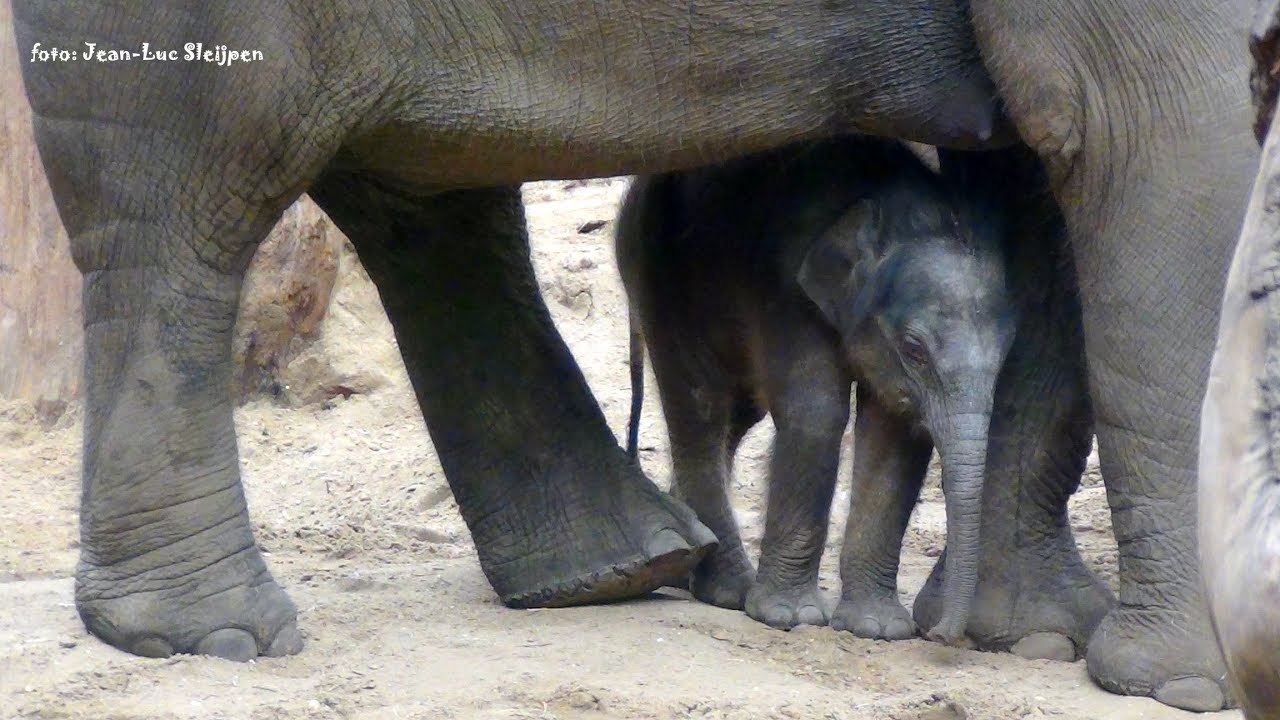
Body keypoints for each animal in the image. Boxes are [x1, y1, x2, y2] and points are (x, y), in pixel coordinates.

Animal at [615, 135, 1014, 643]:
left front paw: (877, 629)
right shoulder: (784, 289)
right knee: (701, 407)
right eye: (914, 349)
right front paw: (791, 617)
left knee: (735, 415)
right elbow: (816, 414)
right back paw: (728, 589)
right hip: (659, 272)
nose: (939, 635)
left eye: (1006, 354)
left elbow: (895, 432)